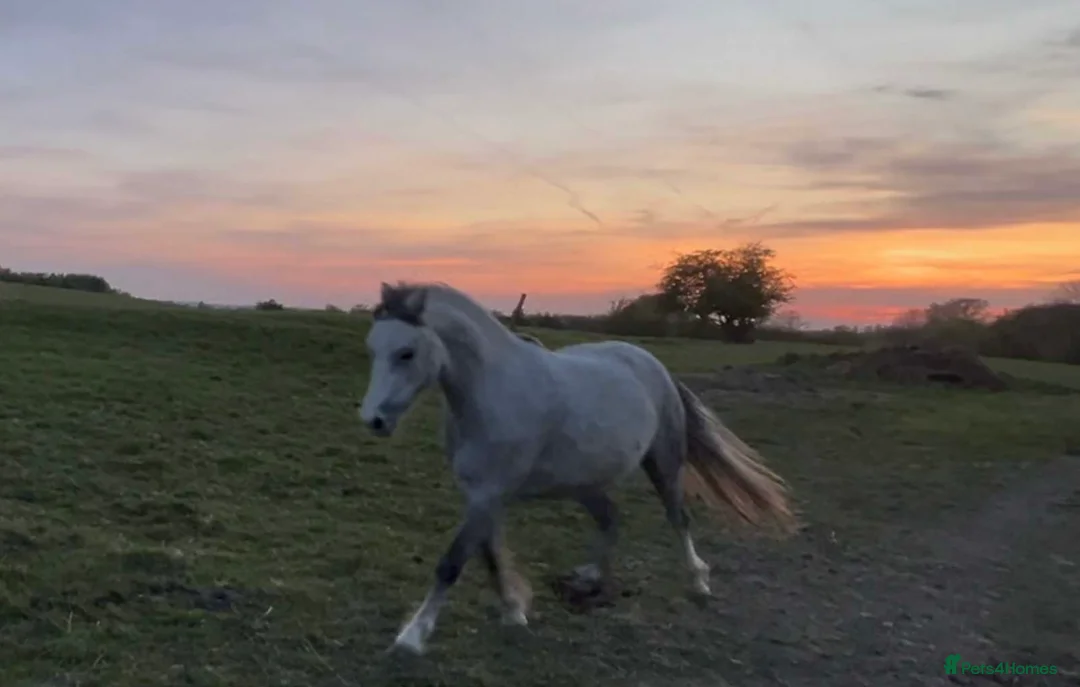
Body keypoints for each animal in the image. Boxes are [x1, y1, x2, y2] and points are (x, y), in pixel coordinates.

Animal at [357, 281, 797, 655]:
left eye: (406, 352)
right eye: (372, 349)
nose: (373, 421)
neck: (493, 393)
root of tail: (654, 365)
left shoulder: (488, 494)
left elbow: (452, 563)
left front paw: (412, 637)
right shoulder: (482, 495)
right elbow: (490, 555)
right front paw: (514, 612)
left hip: (664, 463)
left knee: (678, 518)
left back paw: (698, 582)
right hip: (587, 484)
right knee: (611, 519)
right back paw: (589, 582)